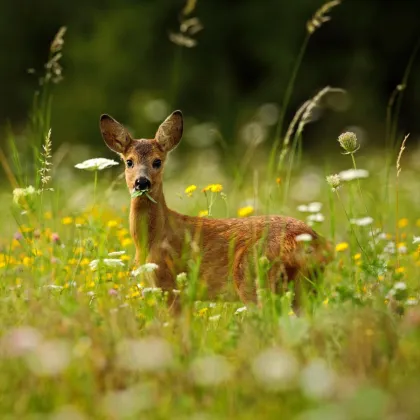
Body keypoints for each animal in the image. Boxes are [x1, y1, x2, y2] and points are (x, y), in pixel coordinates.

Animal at [100, 111, 334, 308]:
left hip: (254, 278)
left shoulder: (171, 285)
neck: (151, 240)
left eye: (157, 161)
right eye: (129, 162)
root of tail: (314, 242)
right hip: (304, 286)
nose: (141, 182)